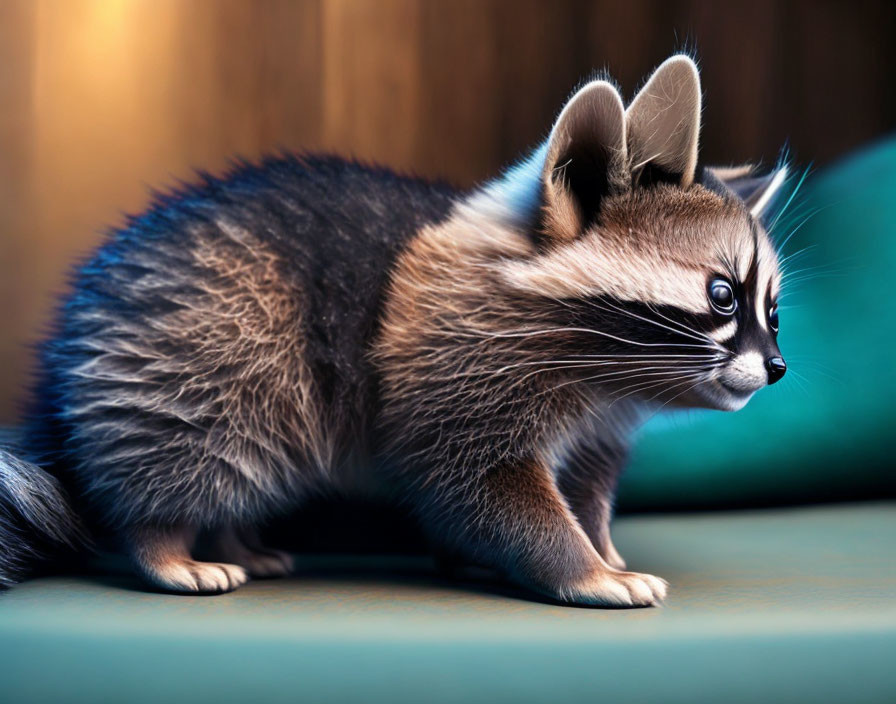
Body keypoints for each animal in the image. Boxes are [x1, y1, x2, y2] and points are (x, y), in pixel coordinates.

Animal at [0, 56, 784, 604]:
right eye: (721, 297)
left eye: (773, 311)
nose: (778, 367)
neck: (606, 374)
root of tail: (70, 351)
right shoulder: (453, 368)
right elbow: (484, 485)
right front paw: (582, 567)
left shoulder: (597, 419)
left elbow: (586, 486)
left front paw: (600, 543)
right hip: (208, 341)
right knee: (198, 445)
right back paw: (162, 544)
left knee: (241, 469)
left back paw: (233, 536)